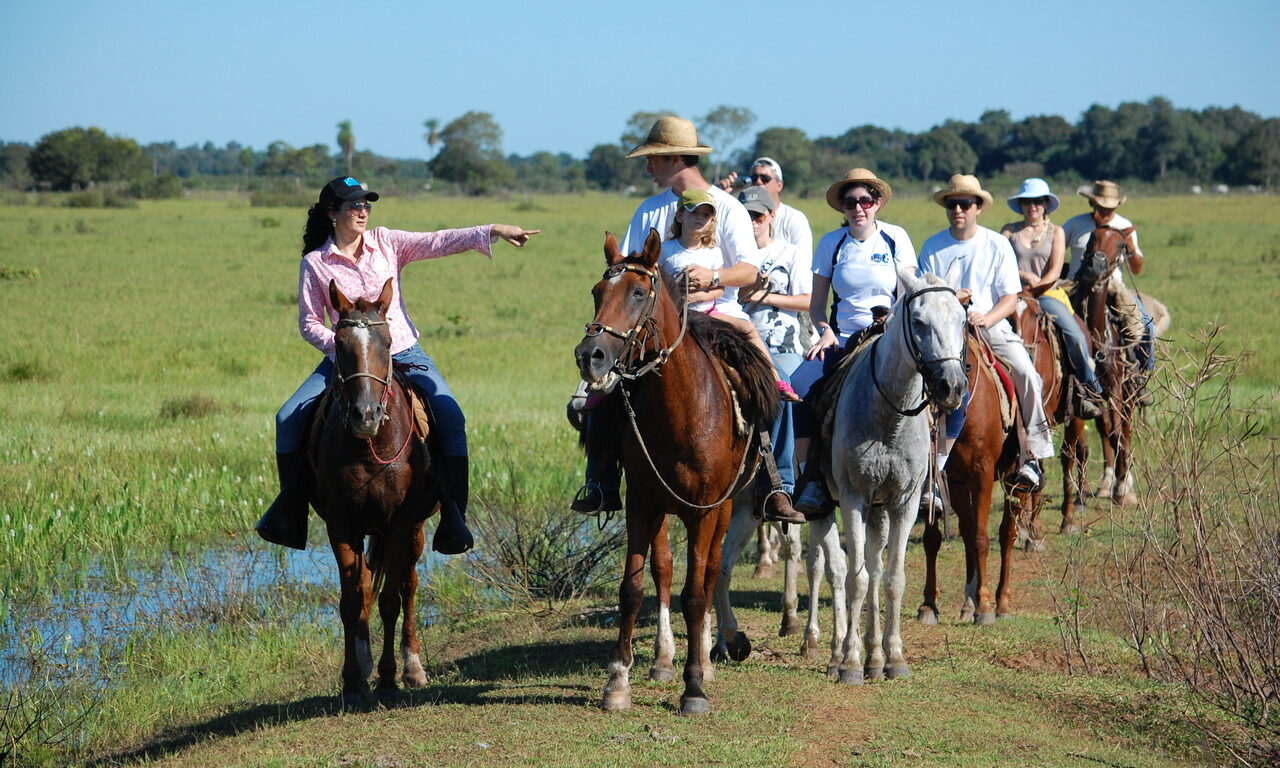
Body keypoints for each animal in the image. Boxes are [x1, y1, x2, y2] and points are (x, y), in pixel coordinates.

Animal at [307, 279, 437, 706]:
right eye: (340, 342)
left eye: (387, 340)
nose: (365, 415)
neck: (369, 448)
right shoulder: (341, 525)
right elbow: (352, 601)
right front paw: (354, 678)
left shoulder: (399, 523)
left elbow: (391, 600)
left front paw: (389, 676)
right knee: (365, 587)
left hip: (415, 530)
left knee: (408, 585)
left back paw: (413, 667)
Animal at [573, 230, 773, 716]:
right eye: (597, 292)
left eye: (638, 293)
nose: (590, 356)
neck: (681, 411)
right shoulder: (642, 502)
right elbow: (633, 587)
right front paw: (617, 682)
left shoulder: (703, 510)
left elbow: (695, 593)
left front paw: (695, 685)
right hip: (664, 507)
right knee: (664, 569)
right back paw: (664, 661)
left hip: (723, 508)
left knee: (711, 571)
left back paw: (707, 657)